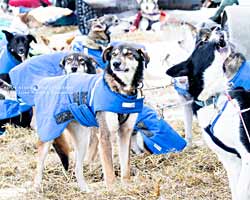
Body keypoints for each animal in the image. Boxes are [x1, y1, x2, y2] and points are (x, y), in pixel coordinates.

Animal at [34, 41, 149, 191]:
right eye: (114, 55)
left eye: (129, 54)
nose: (115, 64)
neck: (121, 91)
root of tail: (45, 82)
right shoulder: (105, 136)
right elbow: (109, 170)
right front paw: (112, 189)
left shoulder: (125, 133)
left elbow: (126, 167)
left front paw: (127, 186)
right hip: (49, 134)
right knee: (39, 165)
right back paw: (36, 189)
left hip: (82, 140)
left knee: (77, 168)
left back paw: (86, 190)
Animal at [166, 29, 250, 200]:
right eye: (202, 43)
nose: (217, 28)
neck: (213, 98)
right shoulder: (231, 161)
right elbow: (237, 191)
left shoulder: (247, 154)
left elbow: (241, 191)